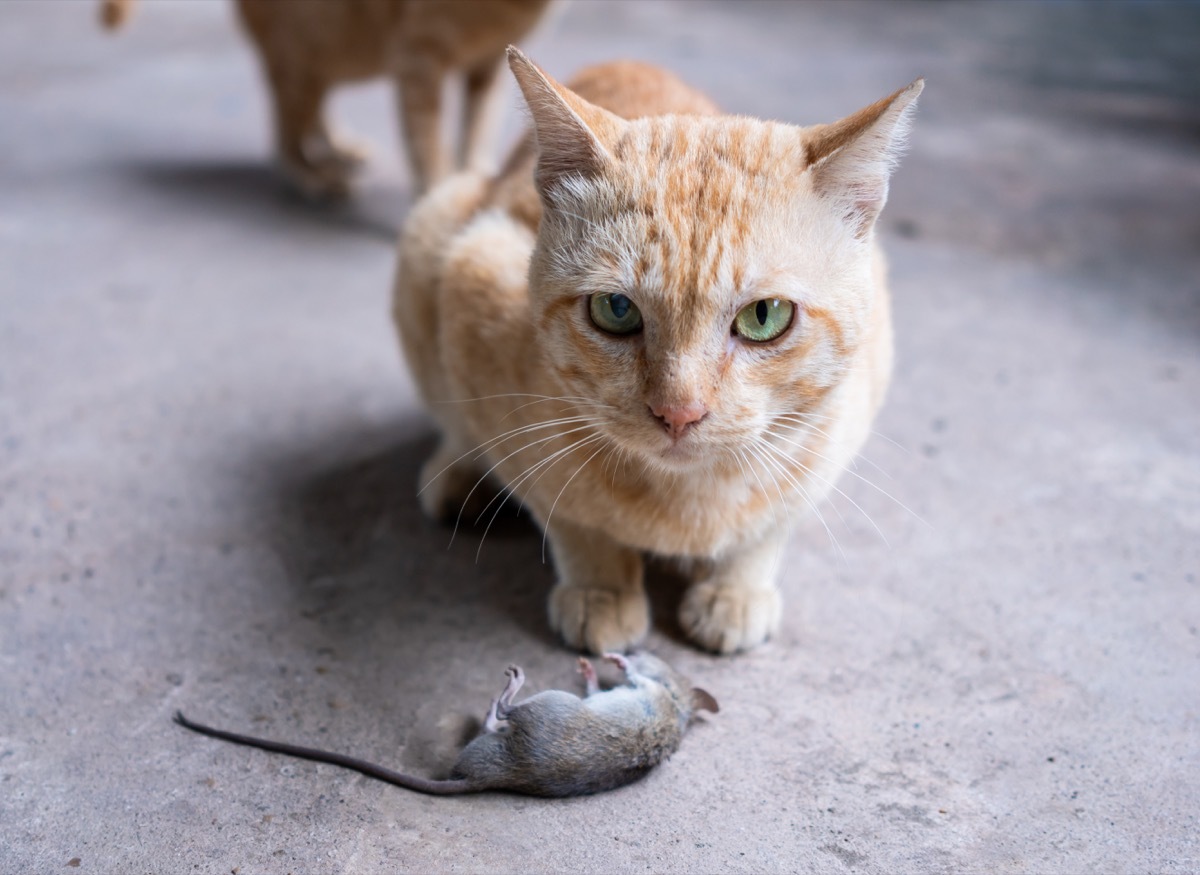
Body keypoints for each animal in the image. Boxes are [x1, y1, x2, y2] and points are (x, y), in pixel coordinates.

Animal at [102, 0, 552, 196]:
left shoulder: (488, 66)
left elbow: (477, 128)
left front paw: (478, 179)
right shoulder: (417, 60)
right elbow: (426, 143)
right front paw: (439, 192)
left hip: (334, 56)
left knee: (313, 112)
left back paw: (339, 148)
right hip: (301, 58)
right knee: (284, 136)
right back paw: (315, 176)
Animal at [393, 44, 916, 652]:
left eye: (764, 316)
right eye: (616, 310)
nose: (678, 412)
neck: (689, 499)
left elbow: (770, 526)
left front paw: (736, 590)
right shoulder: (478, 292)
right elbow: (570, 515)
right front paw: (600, 589)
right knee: (454, 424)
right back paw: (459, 477)